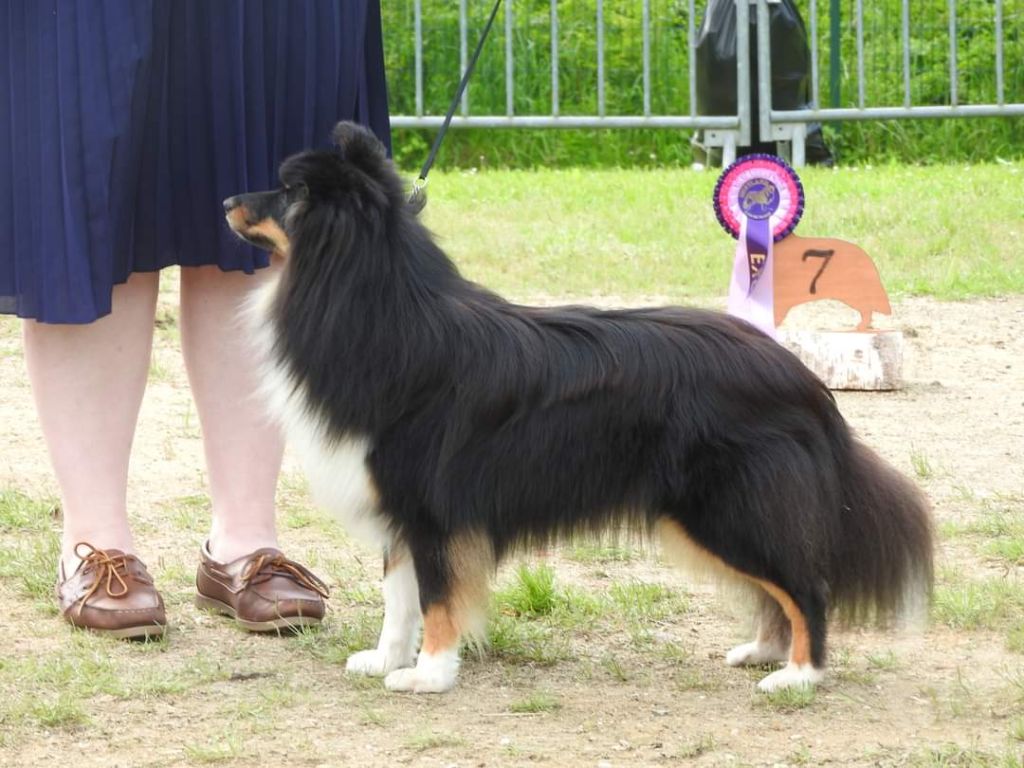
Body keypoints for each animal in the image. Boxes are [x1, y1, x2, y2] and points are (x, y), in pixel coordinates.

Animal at [226, 121, 937, 696]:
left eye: (289, 191)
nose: (228, 200)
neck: (375, 301)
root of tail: (803, 380)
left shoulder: (432, 509)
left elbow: (436, 600)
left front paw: (429, 675)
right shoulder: (397, 508)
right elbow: (398, 597)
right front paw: (384, 660)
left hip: (728, 506)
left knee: (805, 585)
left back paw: (798, 676)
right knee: (776, 586)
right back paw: (764, 651)